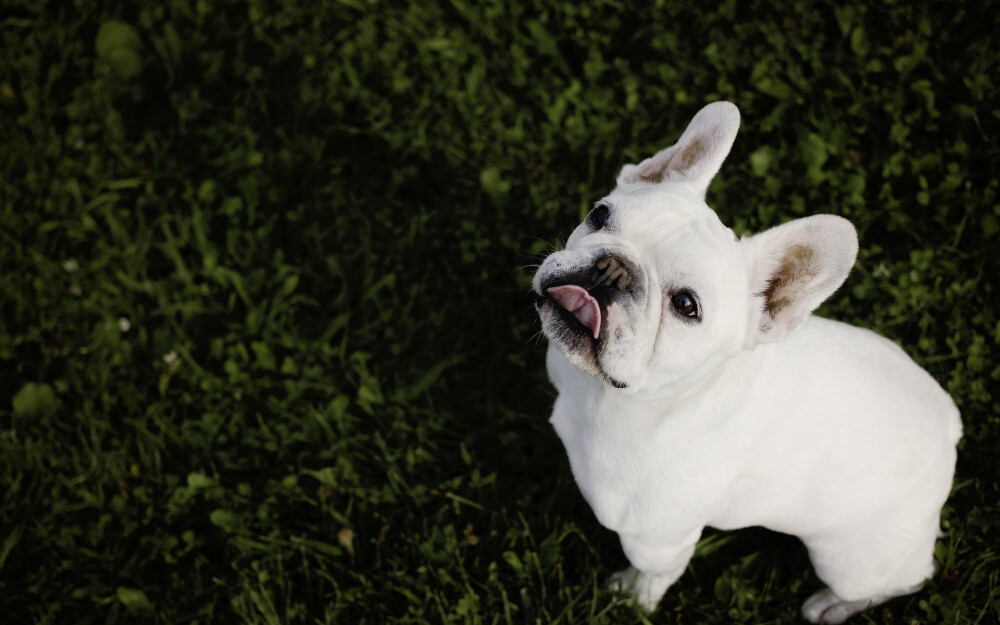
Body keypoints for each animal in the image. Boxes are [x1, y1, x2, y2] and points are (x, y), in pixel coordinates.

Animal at [532, 100, 960, 620]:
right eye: (599, 214)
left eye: (687, 306)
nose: (612, 269)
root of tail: (949, 427)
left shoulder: (658, 538)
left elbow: (653, 576)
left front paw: (633, 598)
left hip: (850, 560)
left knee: (907, 577)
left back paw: (832, 605)